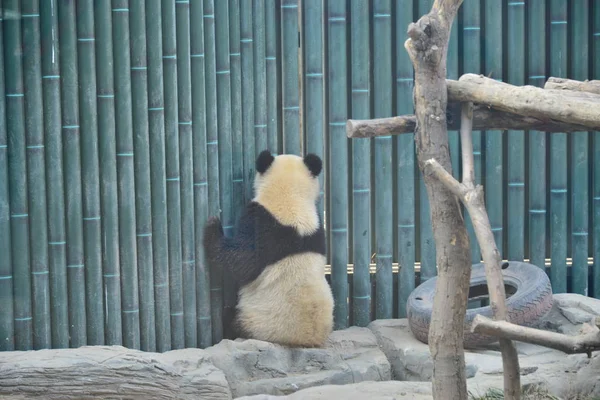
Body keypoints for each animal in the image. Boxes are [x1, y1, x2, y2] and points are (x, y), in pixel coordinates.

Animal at [202, 150, 332, 346]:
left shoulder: (262, 225)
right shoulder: (317, 228)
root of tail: (308, 338)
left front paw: (212, 226)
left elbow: (242, 261)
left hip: (261, 322)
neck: (292, 196)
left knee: (232, 317)